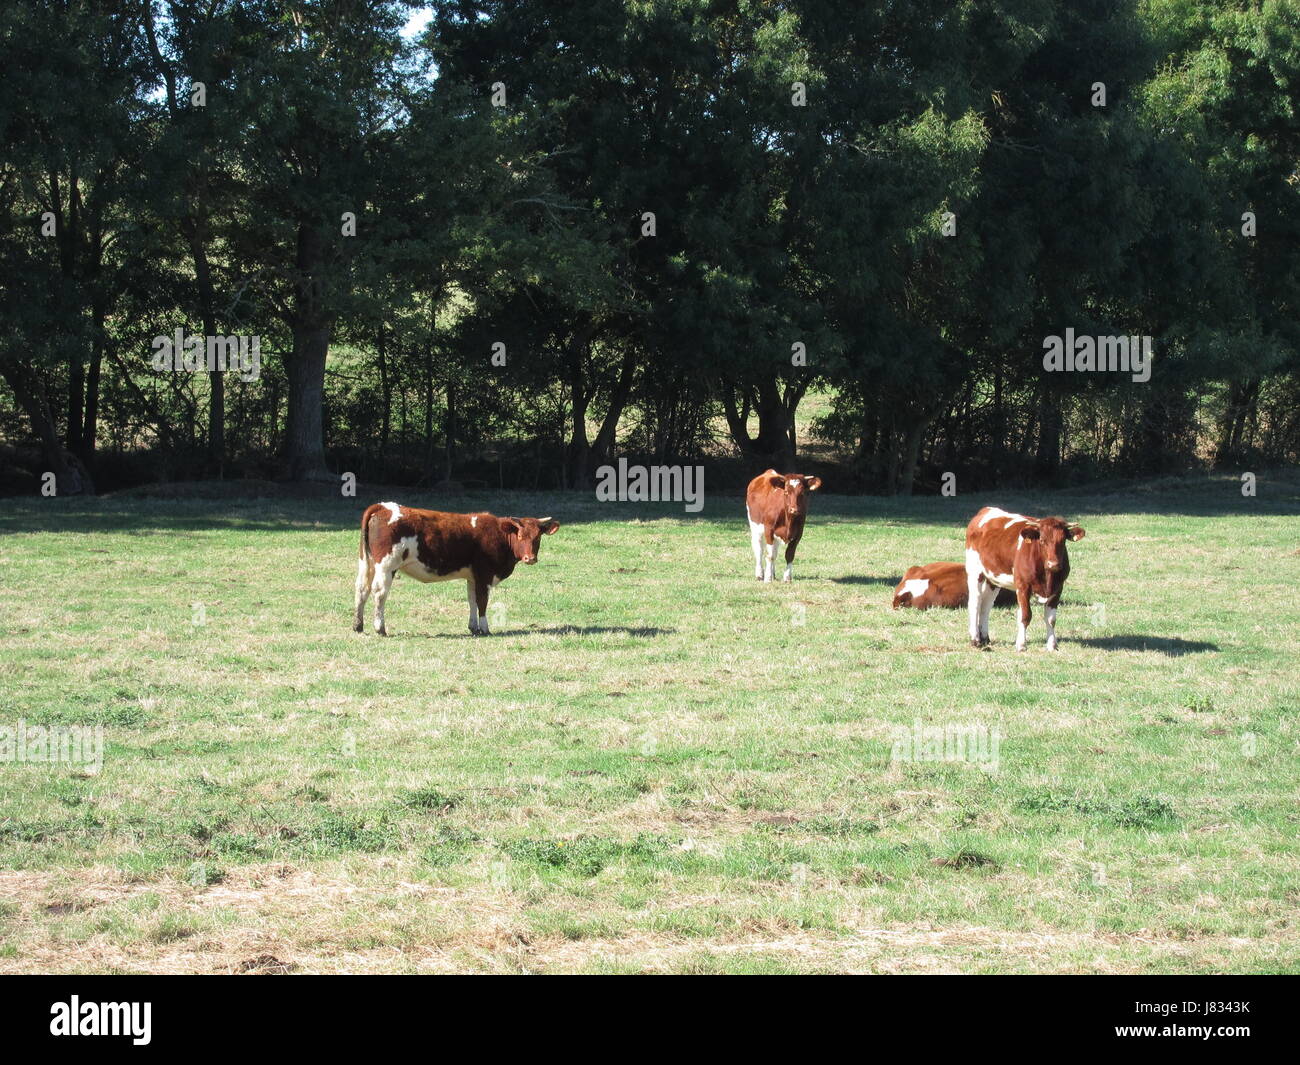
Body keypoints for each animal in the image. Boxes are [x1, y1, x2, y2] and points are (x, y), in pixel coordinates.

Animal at [353, 502, 559, 636]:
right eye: (521, 535)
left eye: (537, 537)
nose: (530, 558)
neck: (499, 535)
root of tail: (383, 506)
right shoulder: (484, 574)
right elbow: (482, 601)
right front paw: (485, 629)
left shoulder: (472, 577)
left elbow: (472, 600)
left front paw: (473, 627)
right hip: (386, 566)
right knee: (379, 593)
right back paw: (380, 628)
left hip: (367, 562)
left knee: (362, 589)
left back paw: (358, 625)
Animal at [964, 507, 1086, 651]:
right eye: (1042, 540)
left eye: (1062, 541)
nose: (1053, 564)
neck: (1047, 577)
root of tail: (985, 509)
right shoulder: (1023, 586)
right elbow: (1025, 616)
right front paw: (1021, 645)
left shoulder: (1058, 588)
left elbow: (1051, 619)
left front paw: (1052, 645)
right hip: (974, 571)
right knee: (975, 603)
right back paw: (975, 640)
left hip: (993, 578)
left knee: (986, 605)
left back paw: (985, 638)